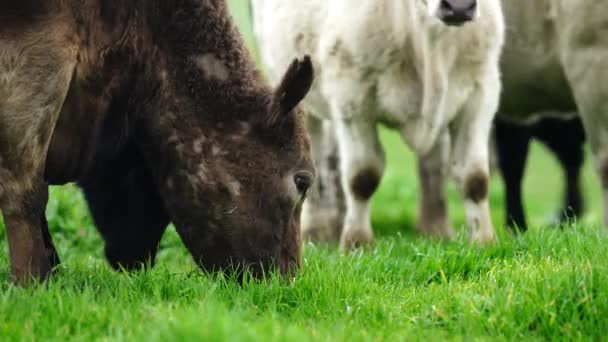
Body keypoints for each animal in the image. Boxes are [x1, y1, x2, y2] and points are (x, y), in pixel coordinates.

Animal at [252, 0, 504, 247]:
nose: (459, 7)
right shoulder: (352, 94)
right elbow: (363, 175)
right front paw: (357, 241)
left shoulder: (482, 92)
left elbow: (474, 176)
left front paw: (484, 240)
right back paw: (317, 230)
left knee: (433, 163)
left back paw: (435, 229)